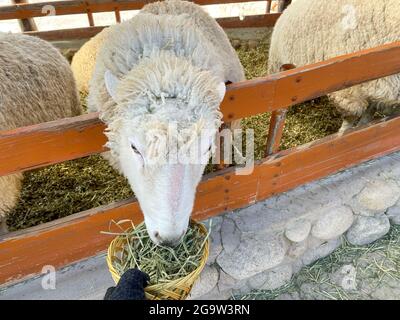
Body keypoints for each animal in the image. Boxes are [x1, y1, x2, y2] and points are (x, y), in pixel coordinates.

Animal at [268, 0, 400, 131]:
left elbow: (369, 113)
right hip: (277, 63)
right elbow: (351, 118)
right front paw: (344, 132)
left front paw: (362, 127)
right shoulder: (348, 91)